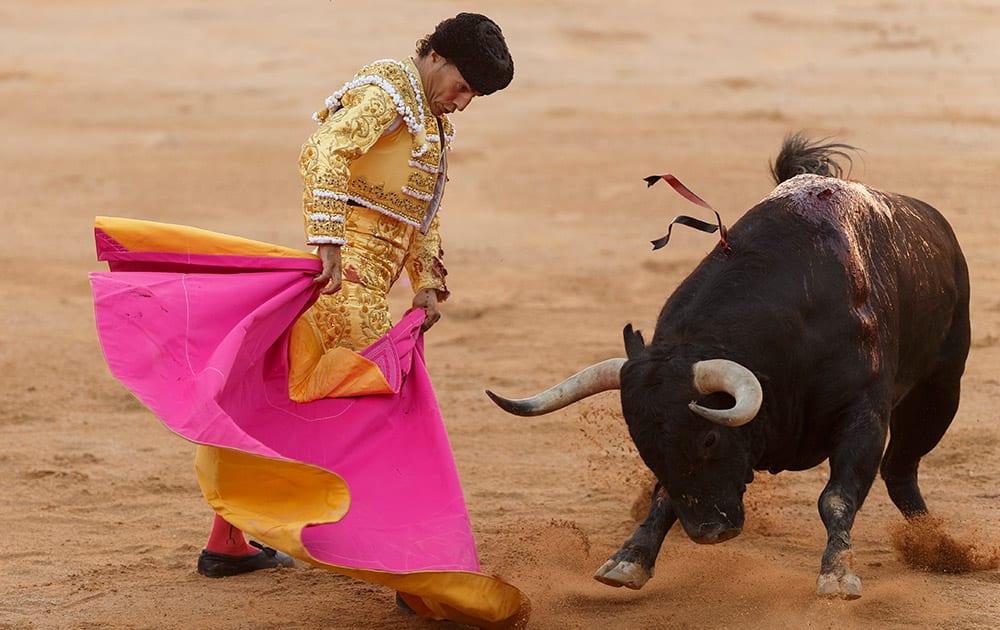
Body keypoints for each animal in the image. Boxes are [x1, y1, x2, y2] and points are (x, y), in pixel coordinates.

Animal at [488, 136, 972, 600]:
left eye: (709, 438)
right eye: (641, 443)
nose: (709, 533)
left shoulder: (863, 414)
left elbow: (836, 497)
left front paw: (837, 575)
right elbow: (663, 496)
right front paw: (628, 560)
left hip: (941, 388)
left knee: (901, 467)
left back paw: (938, 545)